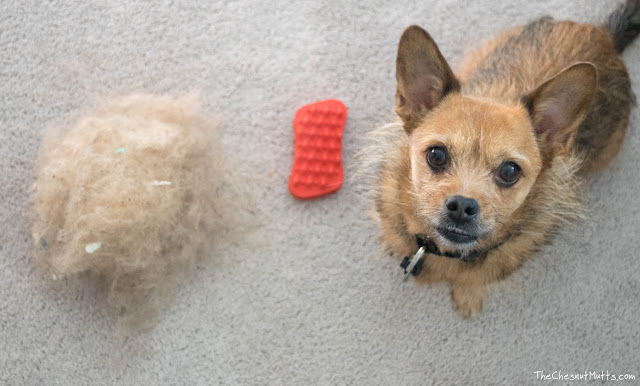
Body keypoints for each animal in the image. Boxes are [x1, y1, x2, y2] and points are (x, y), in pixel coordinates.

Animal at [376, 1, 640, 318]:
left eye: (510, 171)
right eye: (436, 155)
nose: (462, 206)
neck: (442, 251)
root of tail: (605, 35)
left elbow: (476, 281)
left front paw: (468, 296)